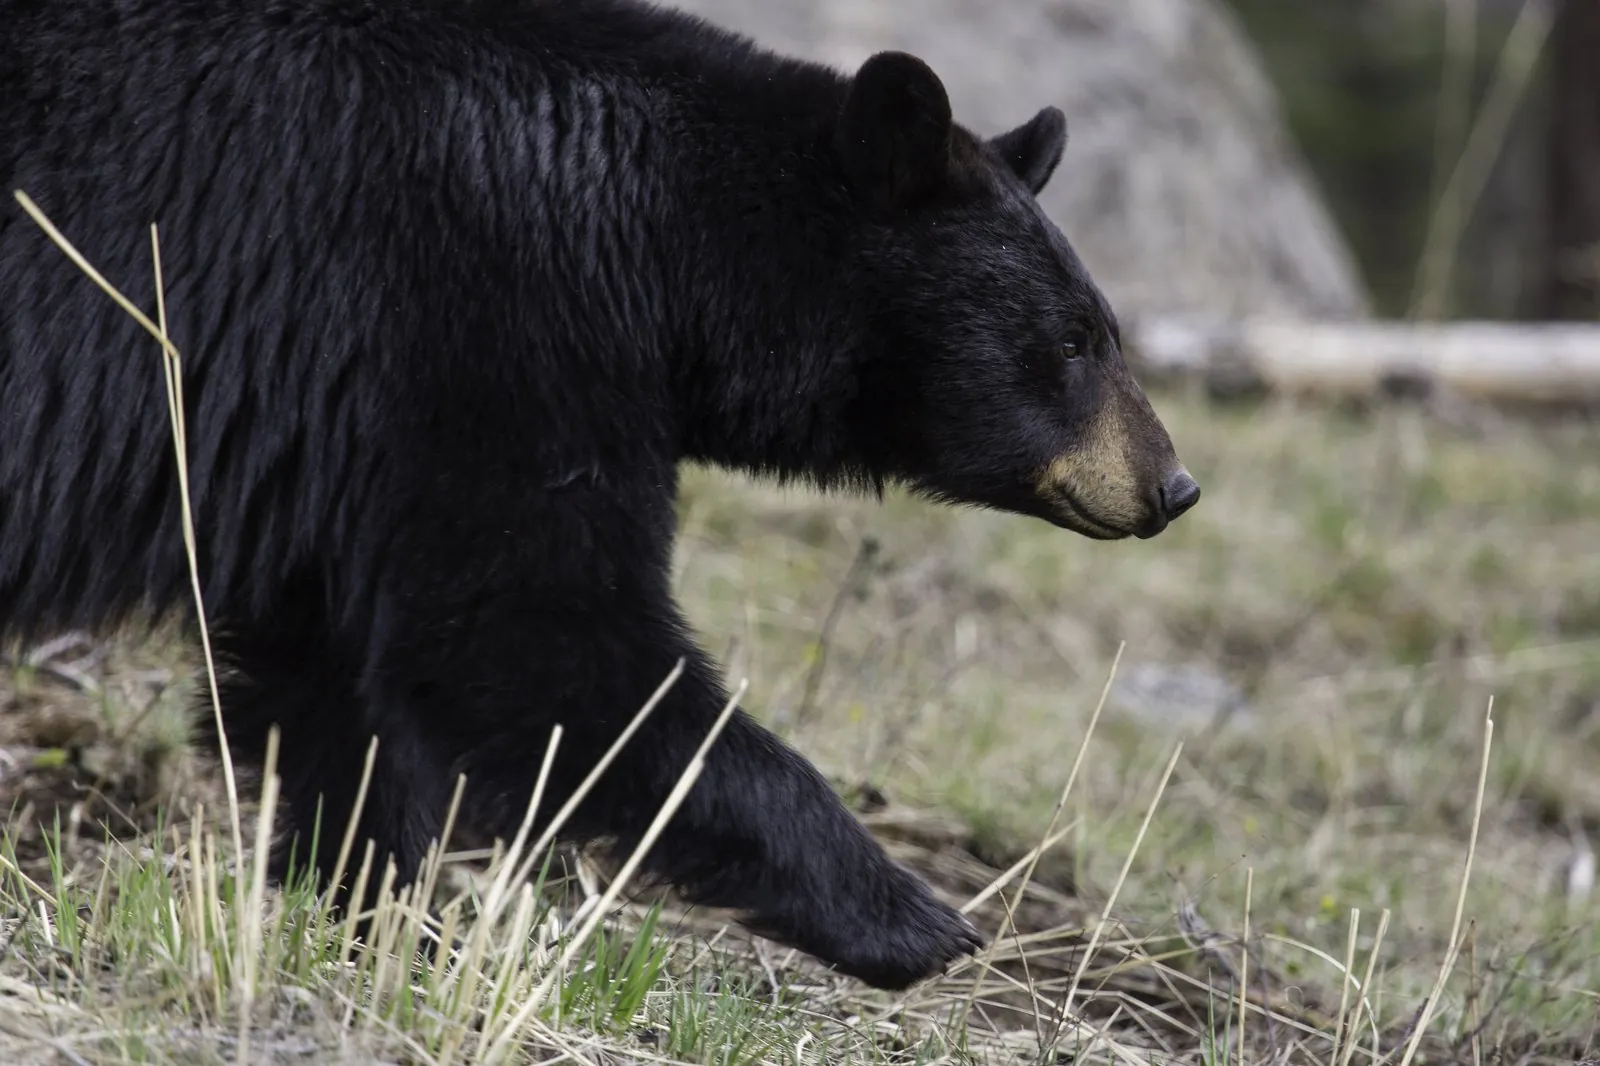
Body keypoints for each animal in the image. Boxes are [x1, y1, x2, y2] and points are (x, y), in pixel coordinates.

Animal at [0, 0, 1199, 990]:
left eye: (1104, 330)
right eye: (1073, 340)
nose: (1173, 484)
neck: (660, 236)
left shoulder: (348, 435)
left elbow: (339, 680)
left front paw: (377, 917)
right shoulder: (479, 320)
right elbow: (538, 637)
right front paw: (912, 917)